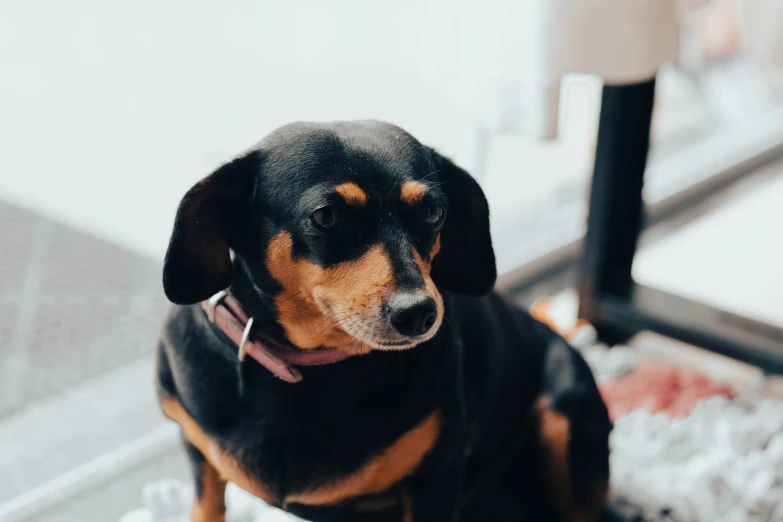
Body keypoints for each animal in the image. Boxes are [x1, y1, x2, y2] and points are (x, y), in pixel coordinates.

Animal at [158, 120, 612, 516]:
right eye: (327, 216)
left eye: (433, 212)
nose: (420, 314)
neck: (309, 368)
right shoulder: (198, 456)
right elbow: (207, 508)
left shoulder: (434, 482)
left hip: (566, 422)